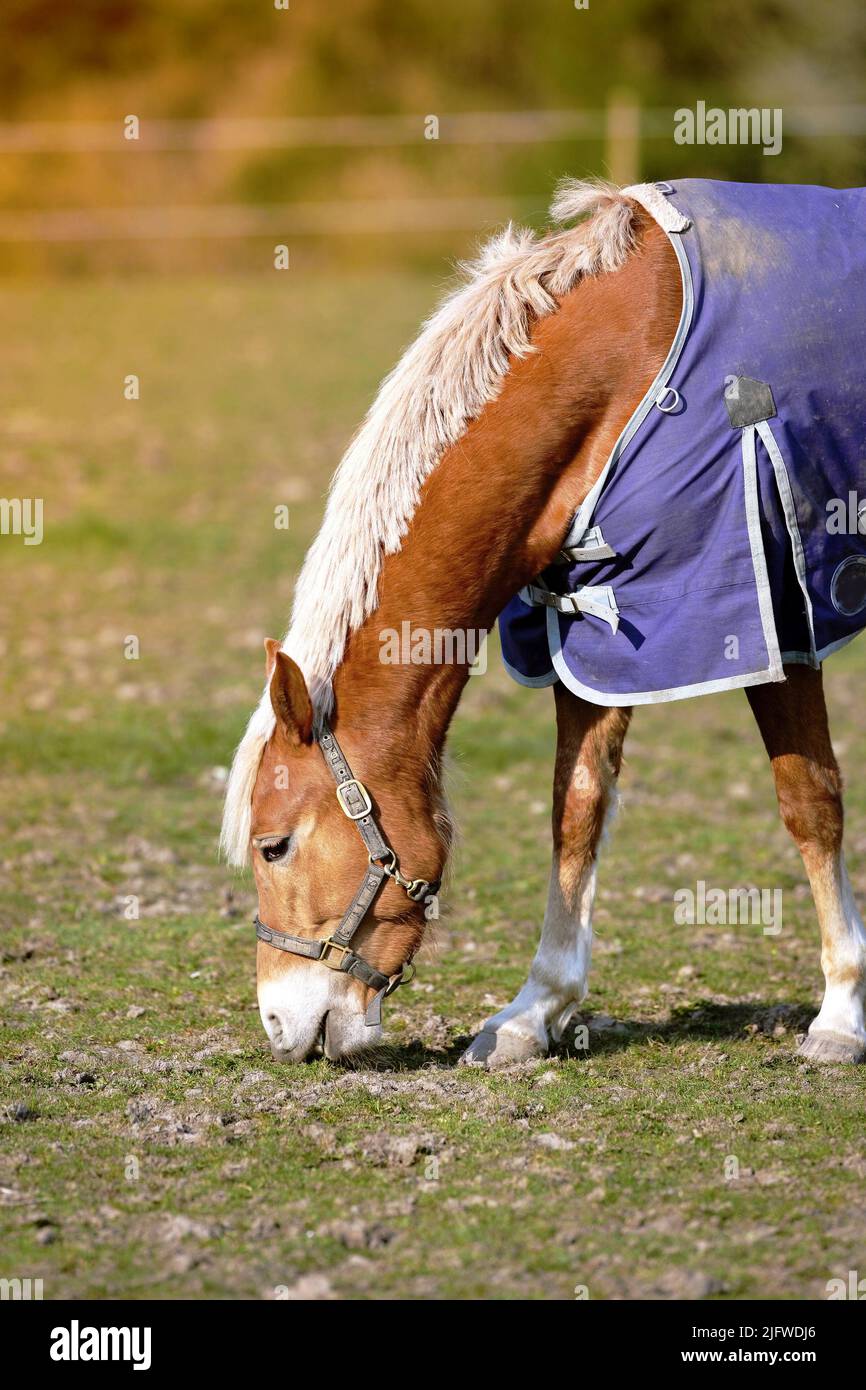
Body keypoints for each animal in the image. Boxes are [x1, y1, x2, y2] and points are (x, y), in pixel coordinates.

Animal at [223, 179, 866, 1067]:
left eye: (273, 846)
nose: (279, 1025)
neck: (627, 367)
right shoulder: (595, 628)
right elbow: (577, 809)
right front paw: (534, 1012)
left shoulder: (769, 613)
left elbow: (810, 800)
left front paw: (840, 1014)